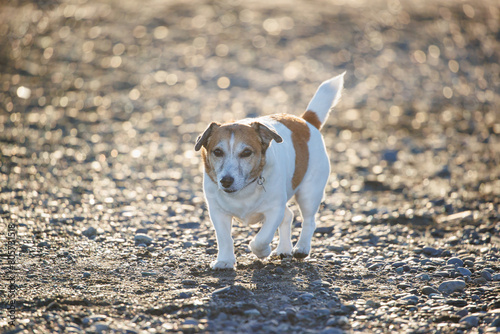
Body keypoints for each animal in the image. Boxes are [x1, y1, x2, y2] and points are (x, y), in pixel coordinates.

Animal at [194, 73, 344, 268]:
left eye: (246, 152)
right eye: (217, 152)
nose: (226, 181)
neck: (244, 191)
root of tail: (306, 120)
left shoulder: (274, 210)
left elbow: (262, 238)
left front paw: (262, 251)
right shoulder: (218, 213)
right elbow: (225, 239)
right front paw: (224, 261)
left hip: (309, 193)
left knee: (309, 220)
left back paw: (301, 248)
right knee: (289, 216)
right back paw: (283, 249)